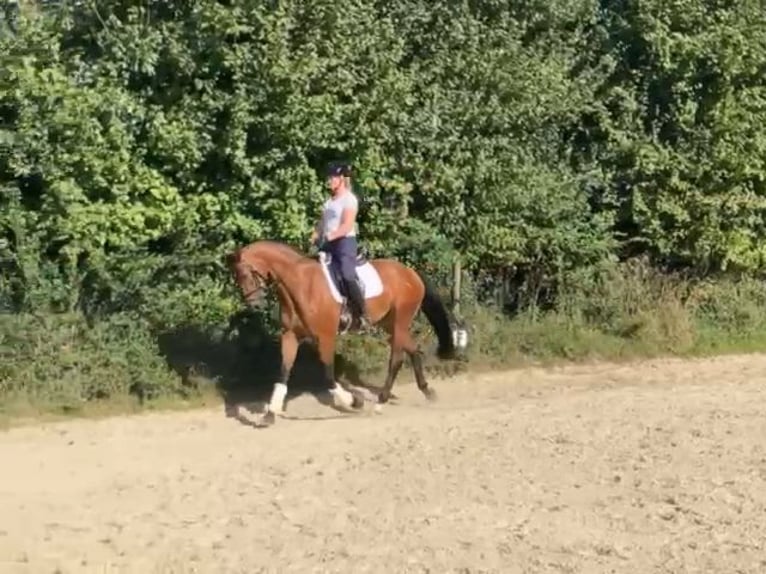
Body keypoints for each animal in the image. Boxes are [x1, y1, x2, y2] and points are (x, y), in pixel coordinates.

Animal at [225, 241, 460, 426]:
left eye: (246, 273)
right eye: (237, 277)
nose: (254, 305)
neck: (301, 285)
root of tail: (410, 272)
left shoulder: (326, 337)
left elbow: (328, 375)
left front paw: (354, 402)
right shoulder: (291, 336)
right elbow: (283, 372)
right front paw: (270, 414)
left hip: (400, 321)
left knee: (396, 359)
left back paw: (380, 402)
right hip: (390, 323)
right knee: (413, 350)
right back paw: (428, 392)